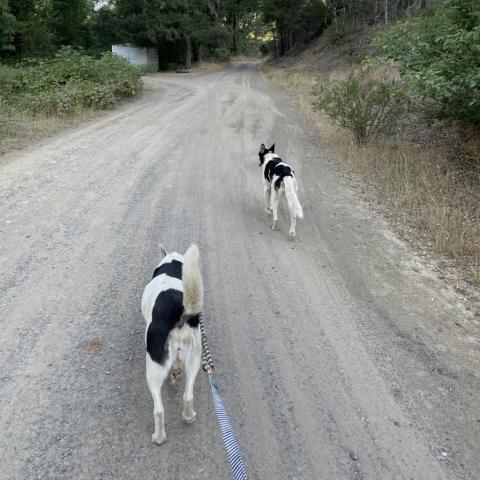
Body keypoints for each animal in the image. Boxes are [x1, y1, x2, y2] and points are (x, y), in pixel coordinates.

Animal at [142, 246, 203, 444]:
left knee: (159, 410)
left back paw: (159, 437)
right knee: (188, 395)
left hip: (153, 369)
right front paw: (176, 373)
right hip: (195, 358)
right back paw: (189, 416)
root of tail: (180, 312)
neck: (173, 263)